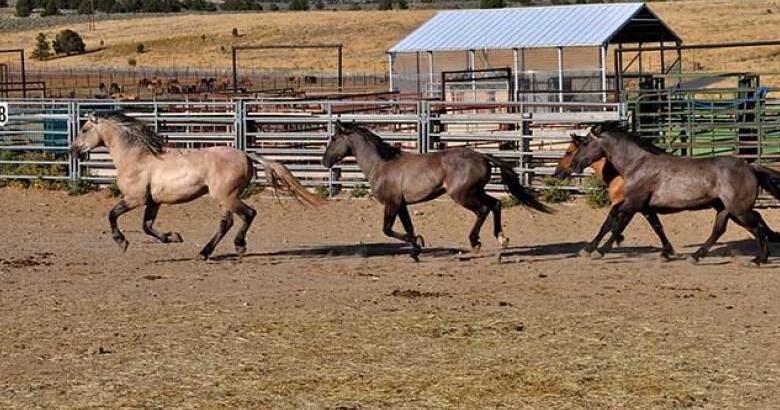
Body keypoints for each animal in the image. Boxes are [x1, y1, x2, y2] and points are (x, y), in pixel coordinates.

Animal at [70, 111, 322, 260]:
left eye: (84, 129)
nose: (72, 150)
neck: (137, 157)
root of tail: (245, 154)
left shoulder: (135, 199)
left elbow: (112, 215)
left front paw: (121, 242)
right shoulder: (153, 202)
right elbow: (147, 226)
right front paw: (172, 237)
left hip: (226, 196)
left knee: (248, 214)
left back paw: (234, 247)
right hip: (225, 199)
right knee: (227, 222)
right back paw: (207, 251)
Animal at [322, 124, 553, 261]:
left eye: (333, 139)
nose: (325, 162)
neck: (382, 164)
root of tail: (482, 156)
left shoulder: (392, 203)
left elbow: (387, 230)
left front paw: (418, 244)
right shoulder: (402, 204)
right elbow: (408, 227)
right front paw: (416, 249)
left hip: (463, 195)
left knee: (483, 210)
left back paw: (476, 242)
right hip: (475, 191)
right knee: (496, 204)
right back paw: (501, 239)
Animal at [568, 122, 780, 265]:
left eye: (585, 143)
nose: (573, 166)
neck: (637, 164)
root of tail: (750, 167)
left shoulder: (634, 203)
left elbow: (619, 225)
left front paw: (600, 251)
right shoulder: (643, 206)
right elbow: (644, 226)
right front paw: (588, 249)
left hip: (739, 210)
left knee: (757, 227)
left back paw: (760, 259)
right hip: (725, 209)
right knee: (720, 230)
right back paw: (695, 256)